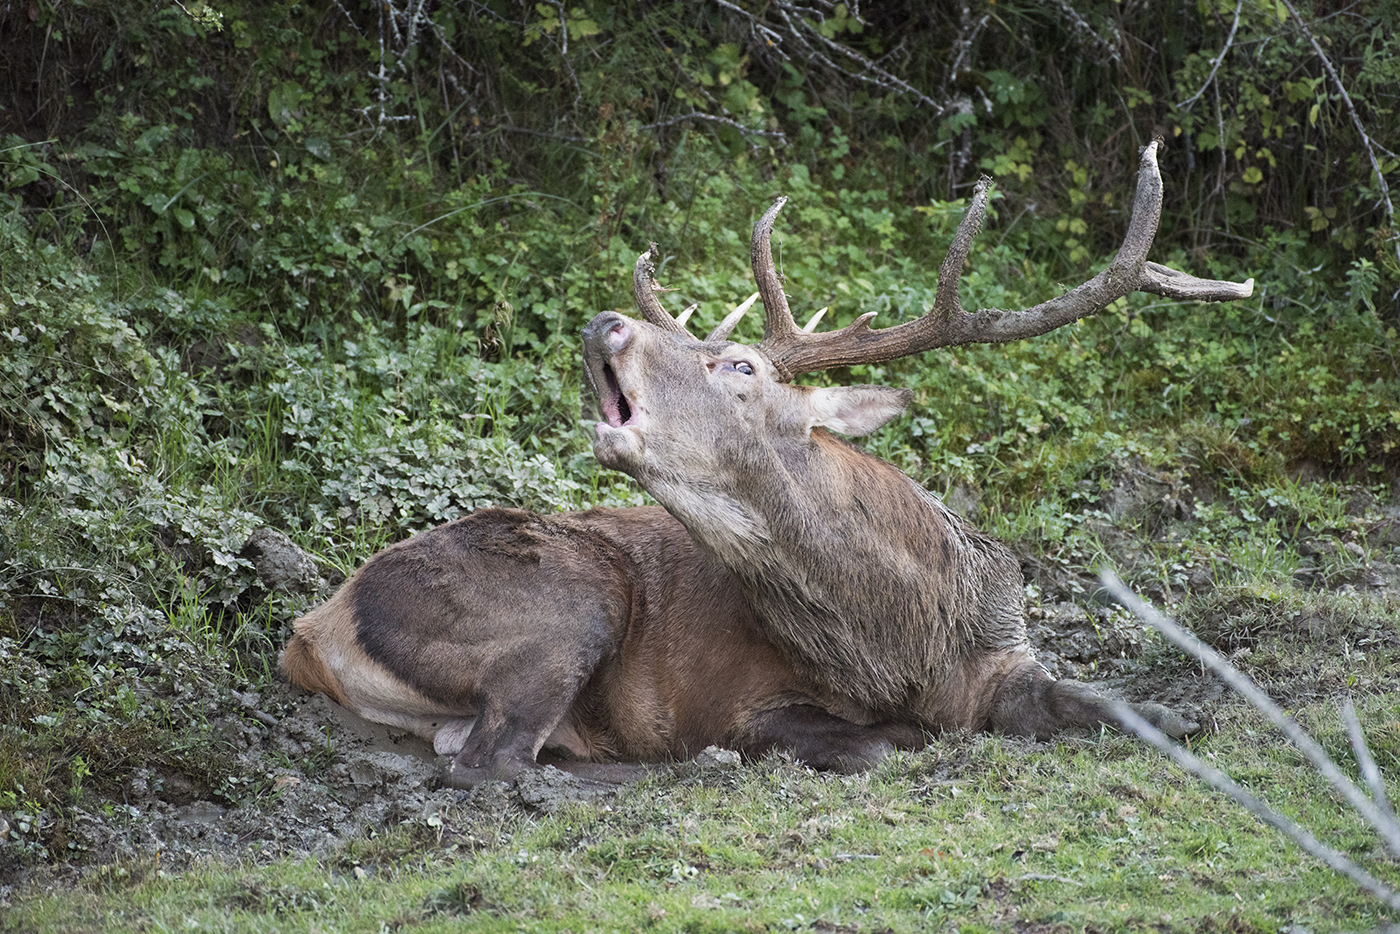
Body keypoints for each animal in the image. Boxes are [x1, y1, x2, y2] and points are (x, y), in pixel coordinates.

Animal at [283, 140, 1253, 787]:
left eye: (740, 366)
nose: (607, 321)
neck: (897, 637)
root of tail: (310, 631)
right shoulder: (739, 699)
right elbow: (874, 742)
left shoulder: (1008, 650)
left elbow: (1107, 703)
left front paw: (1178, 712)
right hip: (570, 600)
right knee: (488, 760)